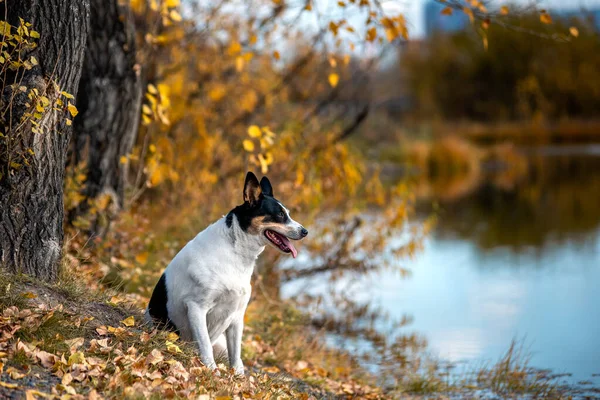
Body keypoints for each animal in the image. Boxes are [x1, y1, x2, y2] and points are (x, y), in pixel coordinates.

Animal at [144, 171, 304, 376]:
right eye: (280, 215)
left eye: (288, 214)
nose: (305, 231)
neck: (235, 250)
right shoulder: (197, 307)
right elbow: (205, 346)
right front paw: (212, 372)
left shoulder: (236, 317)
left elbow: (236, 356)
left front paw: (238, 378)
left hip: (221, 342)